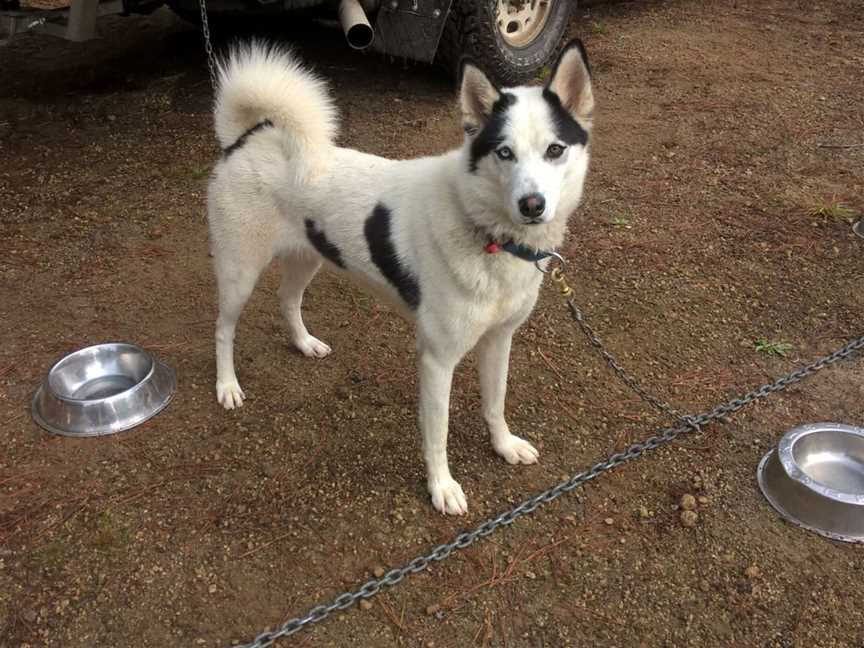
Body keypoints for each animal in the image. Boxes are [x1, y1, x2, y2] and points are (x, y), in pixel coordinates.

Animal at [208, 40, 592, 516]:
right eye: (504, 152)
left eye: (555, 150)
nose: (532, 205)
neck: (486, 231)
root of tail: (251, 137)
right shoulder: (437, 359)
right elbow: (437, 435)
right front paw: (442, 487)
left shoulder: (499, 339)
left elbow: (495, 402)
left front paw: (504, 446)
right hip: (239, 271)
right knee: (224, 329)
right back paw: (227, 386)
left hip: (309, 256)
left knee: (287, 299)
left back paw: (304, 343)